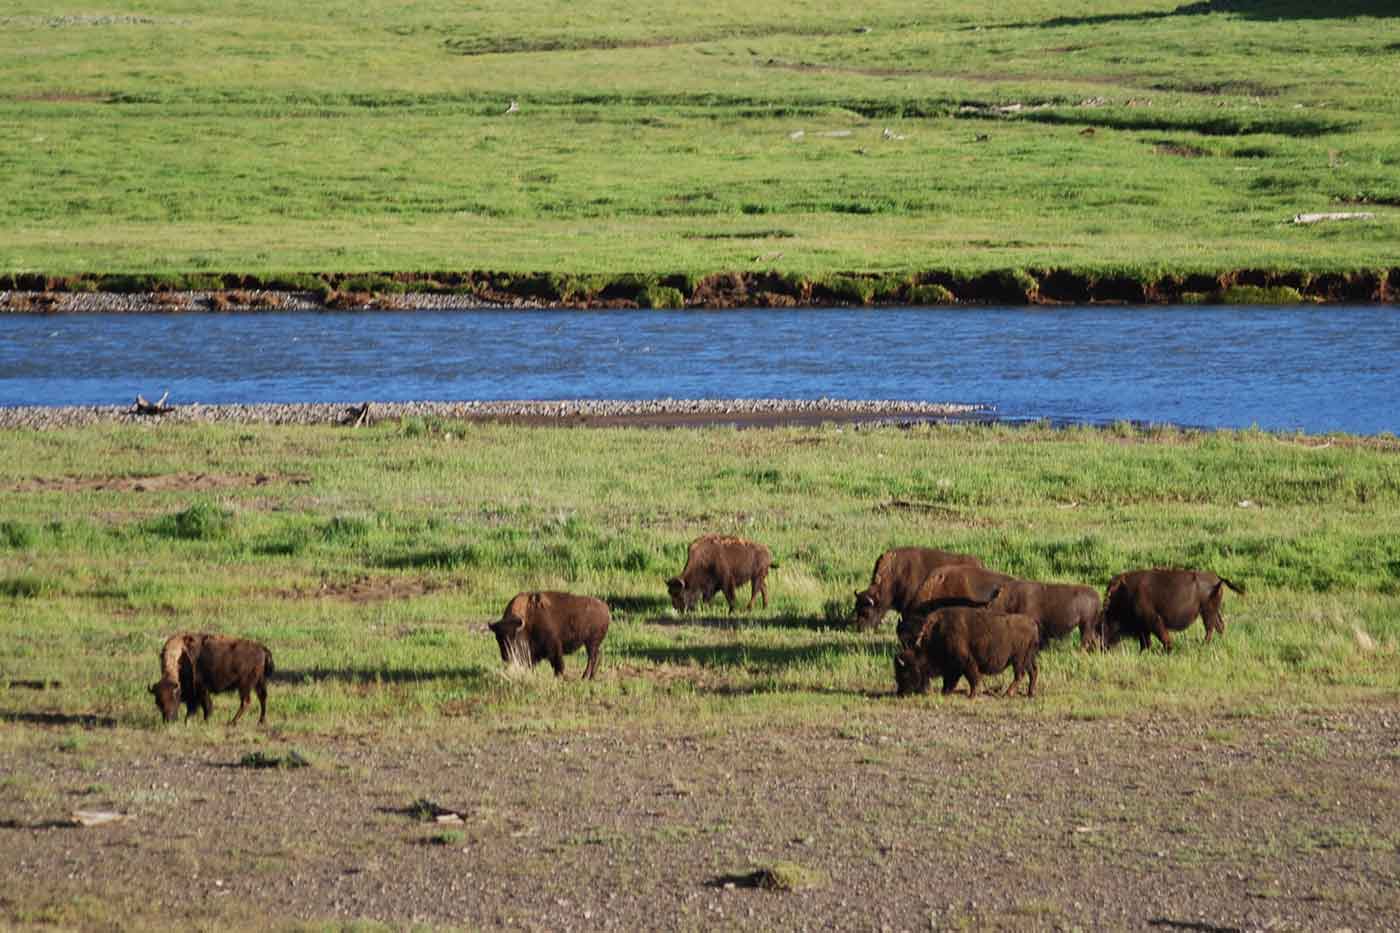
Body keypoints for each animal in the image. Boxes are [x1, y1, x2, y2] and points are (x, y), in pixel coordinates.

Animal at [896, 602, 1041, 697]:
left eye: (905, 672)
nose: (900, 693)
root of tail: (1032, 624)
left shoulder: (966, 662)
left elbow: (972, 678)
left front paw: (972, 695)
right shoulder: (953, 666)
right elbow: (950, 680)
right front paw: (945, 692)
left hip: (1018, 660)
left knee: (1020, 675)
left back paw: (1008, 693)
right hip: (1028, 659)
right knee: (1033, 672)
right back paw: (1030, 693)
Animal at [1092, 563, 1248, 650]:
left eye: (1101, 626)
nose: (1101, 648)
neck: (1125, 595)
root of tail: (1217, 578)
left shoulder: (1153, 621)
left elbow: (1162, 638)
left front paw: (1168, 649)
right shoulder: (1144, 628)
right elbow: (1146, 642)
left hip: (1207, 612)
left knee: (1210, 629)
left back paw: (1203, 645)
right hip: (1212, 612)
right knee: (1219, 627)